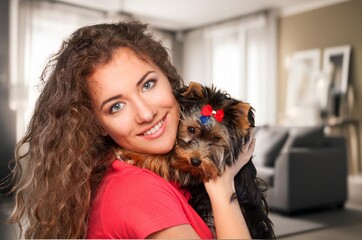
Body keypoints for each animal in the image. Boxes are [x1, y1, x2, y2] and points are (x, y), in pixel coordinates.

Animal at [116, 82, 274, 238]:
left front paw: (130, 154)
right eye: (191, 129)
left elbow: (169, 161)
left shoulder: (197, 172)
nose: (196, 161)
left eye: (216, 139)